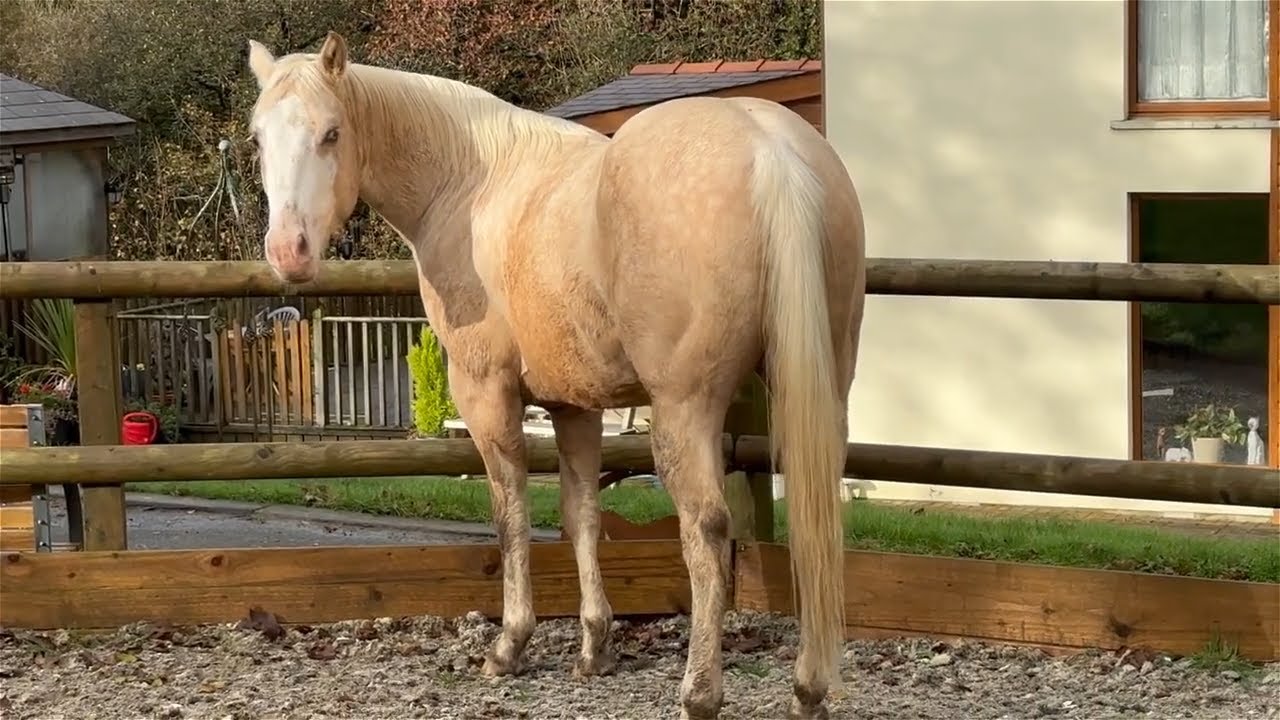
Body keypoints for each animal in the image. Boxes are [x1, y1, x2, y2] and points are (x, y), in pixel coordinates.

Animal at [246, 32, 866, 720]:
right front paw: (595, 646)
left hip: (685, 408)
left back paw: (699, 691)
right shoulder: (576, 405)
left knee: (706, 527)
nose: (288, 252)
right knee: (817, 519)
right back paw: (808, 688)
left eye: (331, 133)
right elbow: (582, 514)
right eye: (257, 139)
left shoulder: (486, 393)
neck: (469, 184)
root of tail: (769, 150)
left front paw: (509, 646)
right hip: (822, 391)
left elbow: (511, 514)